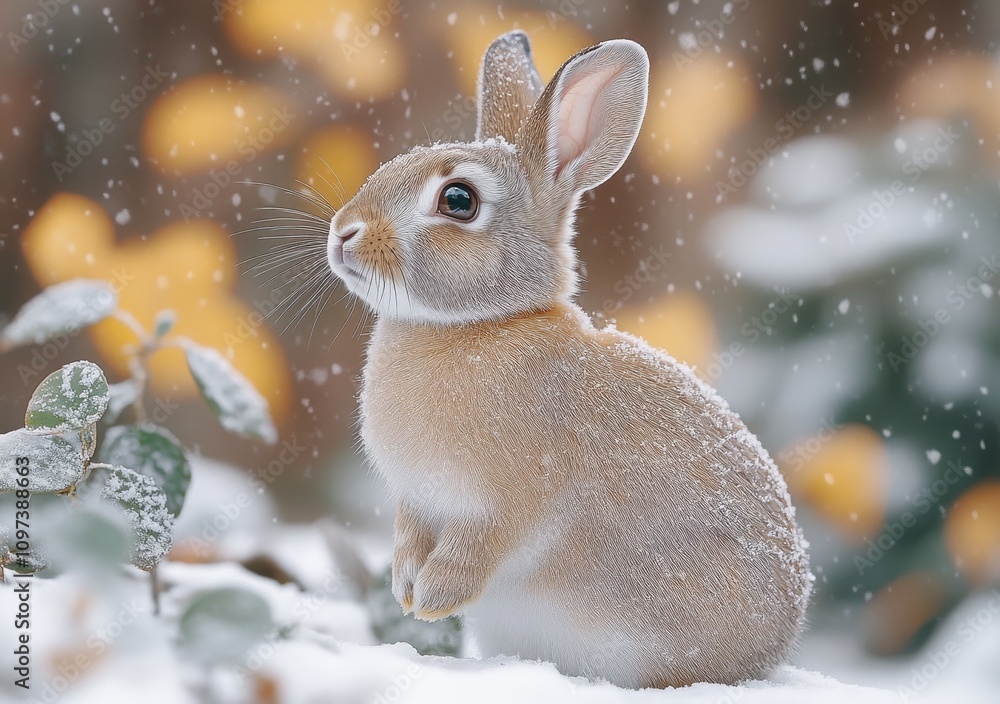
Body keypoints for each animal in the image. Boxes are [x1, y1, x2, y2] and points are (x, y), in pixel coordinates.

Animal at [325, 30, 812, 689]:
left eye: (459, 200)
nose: (342, 233)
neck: (482, 324)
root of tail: (769, 656)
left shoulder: (507, 504)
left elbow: (475, 549)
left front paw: (431, 599)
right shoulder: (417, 500)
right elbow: (409, 535)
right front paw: (405, 588)